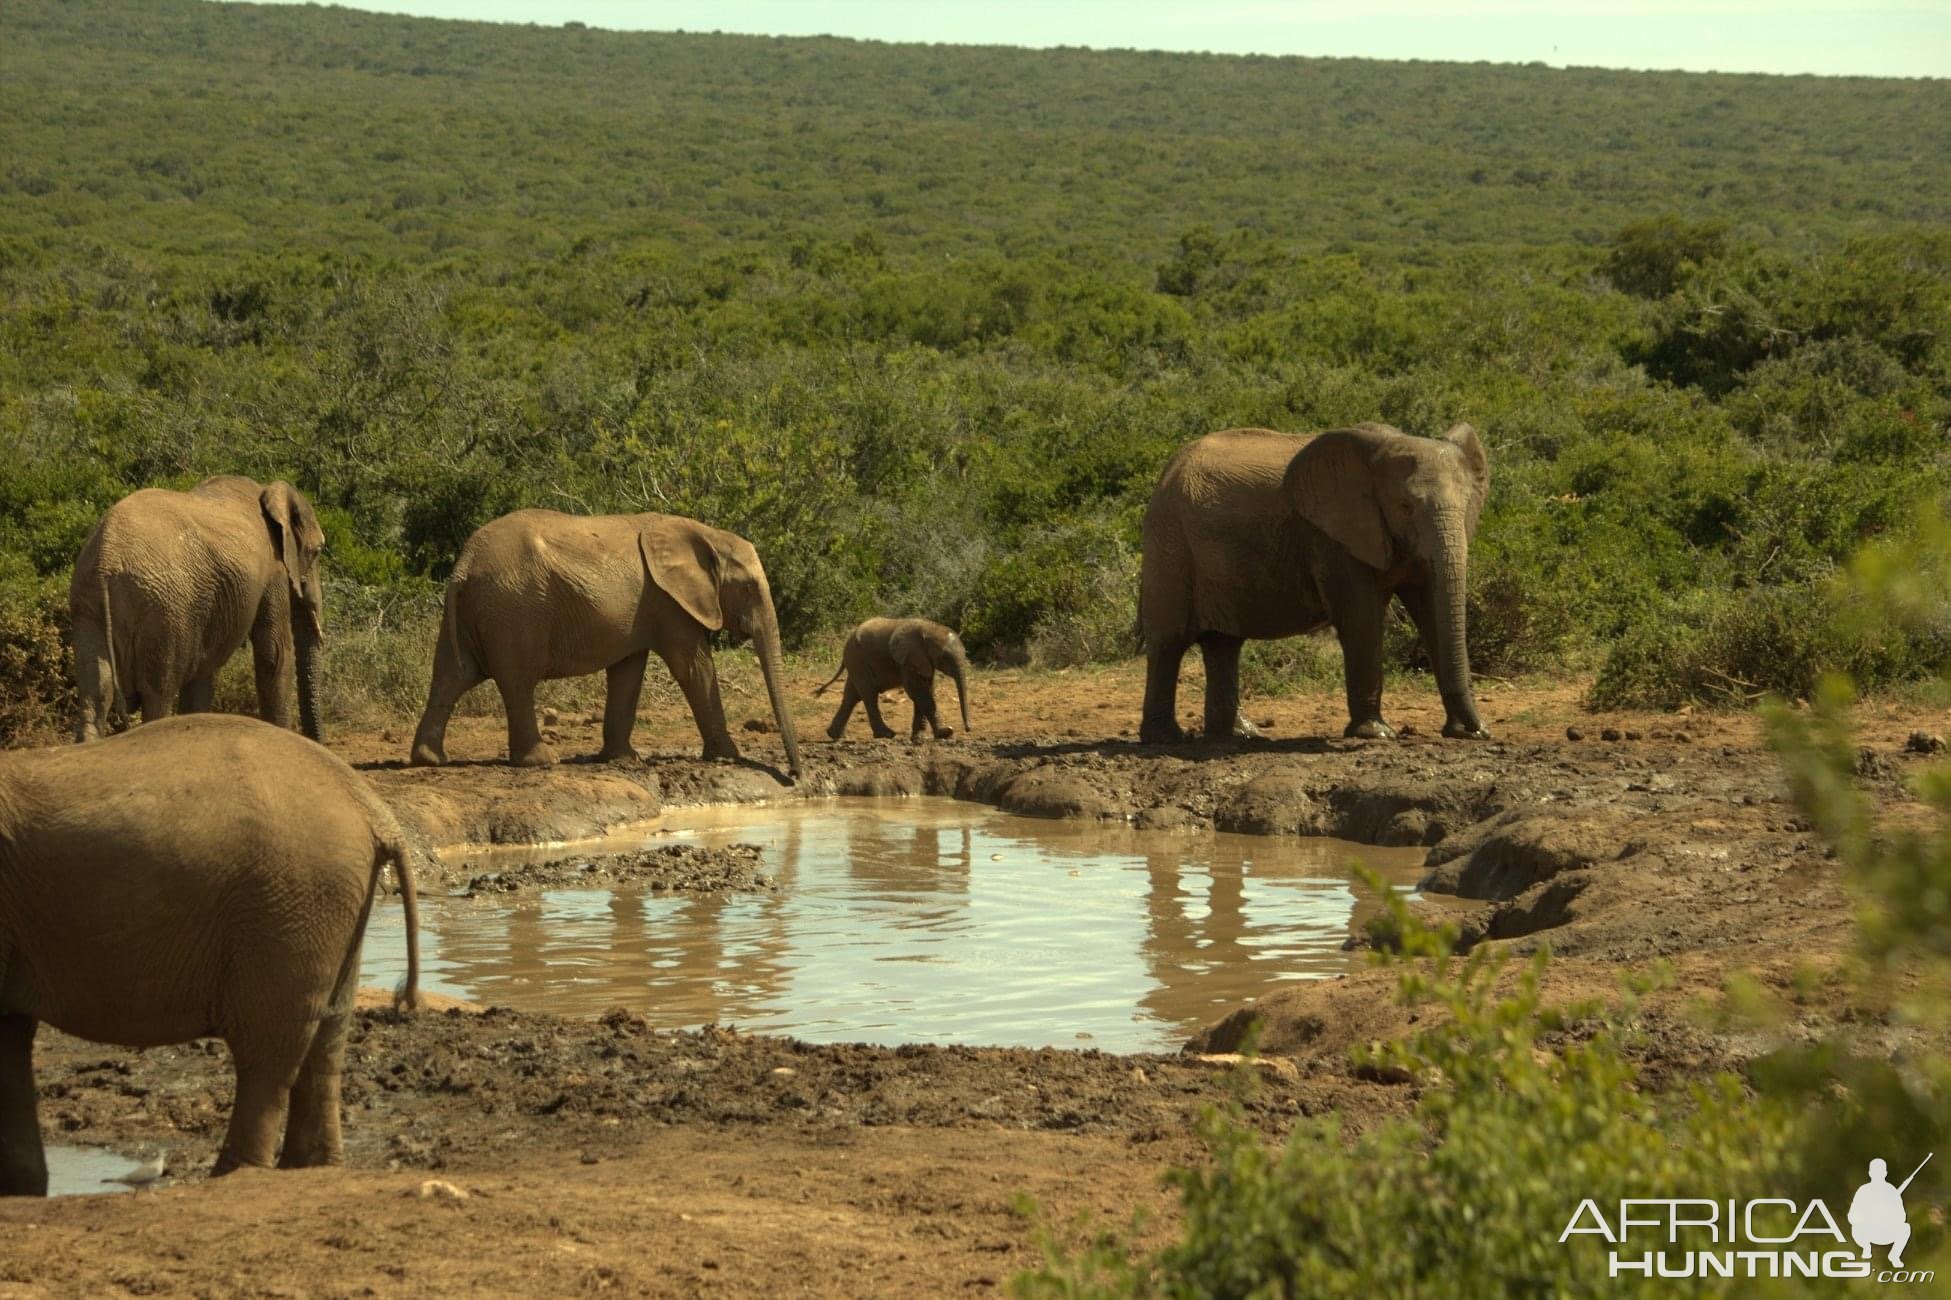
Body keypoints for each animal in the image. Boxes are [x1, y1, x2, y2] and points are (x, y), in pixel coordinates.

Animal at [0, 714, 419, 1186]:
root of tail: (370, 806)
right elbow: (10, 1034)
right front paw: (21, 1187)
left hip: (289, 906)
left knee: (267, 1049)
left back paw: (234, 1174)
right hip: (329, 906)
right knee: (327, 1037)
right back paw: (308, 1166)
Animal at [67, 474, 327, 737]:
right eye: (317, 551)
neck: (268, 490)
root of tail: (107, 560)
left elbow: (204, 669)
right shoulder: (273, 569)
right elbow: (274, 653)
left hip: (89, 604)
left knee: (96, 692)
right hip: (164, 611)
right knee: (157, 694)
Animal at [407, 503, 803, 769]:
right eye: (749, 589)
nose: (794, 776)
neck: (706, 534)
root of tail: (464, 565)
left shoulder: (646, 608)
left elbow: (628, 672)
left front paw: (622, 759)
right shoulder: (668, 601)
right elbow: (692, 667)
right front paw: (729, 756)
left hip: (480, 610)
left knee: (452, 676)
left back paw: (429, 760)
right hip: (514, 610)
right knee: (516, 682)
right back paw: (542, 761)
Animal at [1131, 423, 1490, 737]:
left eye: (1468, 503)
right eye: (1405, 507)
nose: (1479, 730)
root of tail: (1167, 472)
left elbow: (1430, 611)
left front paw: (1464, 733)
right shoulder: (1331, 539)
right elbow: (1361, 620)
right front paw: (1374, 734)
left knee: (1224, 644)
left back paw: (1239, 735)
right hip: (1170, 544)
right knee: (1169, 641)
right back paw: (1166, 738)